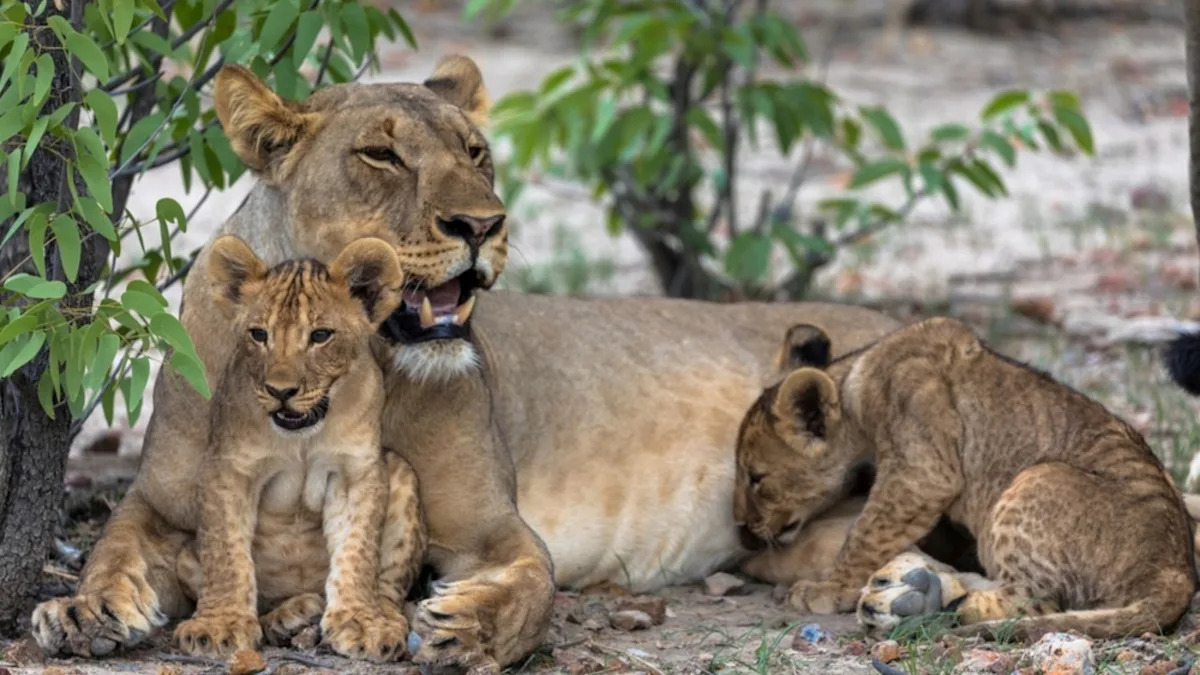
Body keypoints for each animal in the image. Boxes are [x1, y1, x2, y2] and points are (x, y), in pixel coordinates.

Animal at [161, 235, 424, 663]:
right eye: (258, 334)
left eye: (320, 336)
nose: (280, 391)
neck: (303, 437)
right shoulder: (229, 468)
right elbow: (227, 552)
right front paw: (219, 626)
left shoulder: (356, 471)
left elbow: (358, 551)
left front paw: (361, 622)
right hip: (186, 553)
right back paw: (291, 613)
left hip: (399, 469)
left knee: (389, 589)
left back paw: (376, 617)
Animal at [735, 317, 1196, 639]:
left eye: (756, 478)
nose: (742, 531)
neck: (854, 384)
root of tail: (1176, 573)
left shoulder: (922, 473)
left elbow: (864, 535)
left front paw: (827, 590)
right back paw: (930, 588)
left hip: (1036, 477)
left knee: (1036, 602)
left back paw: (944, 605)